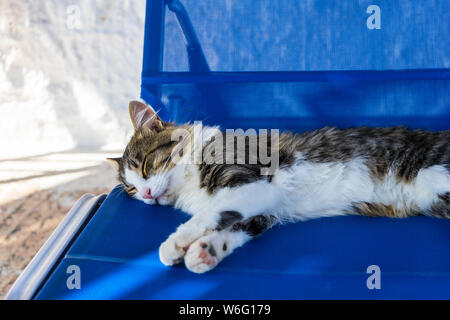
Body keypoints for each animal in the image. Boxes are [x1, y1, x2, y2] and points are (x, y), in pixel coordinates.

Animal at [109, 101, 450, 274]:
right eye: (131, 191)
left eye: (144, 166)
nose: (146, 195)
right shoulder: (262, 211)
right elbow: (231, 230)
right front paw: (205, 252)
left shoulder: (253, 183)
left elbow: (206, 216)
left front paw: (176, 243)